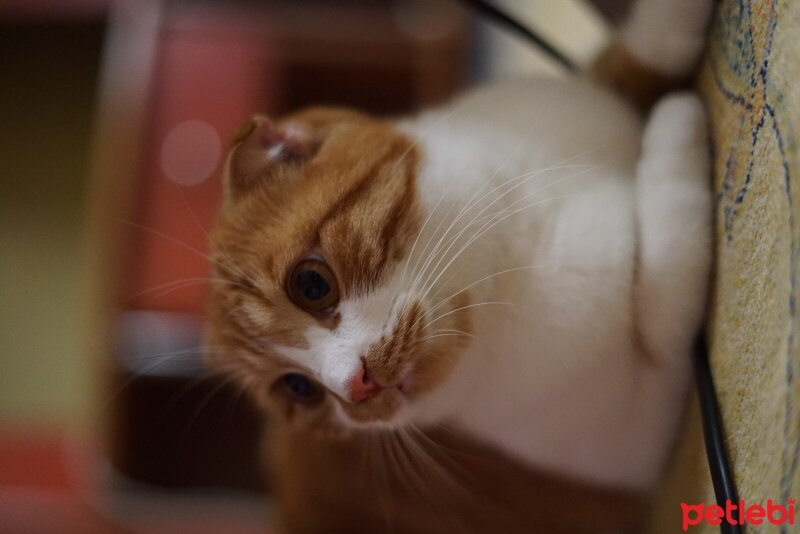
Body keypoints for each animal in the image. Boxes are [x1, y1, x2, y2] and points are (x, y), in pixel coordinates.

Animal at [206, 0, 712, 502]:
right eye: (300, 388)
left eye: (311, 284)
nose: (355, 387)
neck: (515, 264)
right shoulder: (644, 436)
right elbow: (666, 283)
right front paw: (681, 126)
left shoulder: (576, 102)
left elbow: (638, 54)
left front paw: (677, 20)